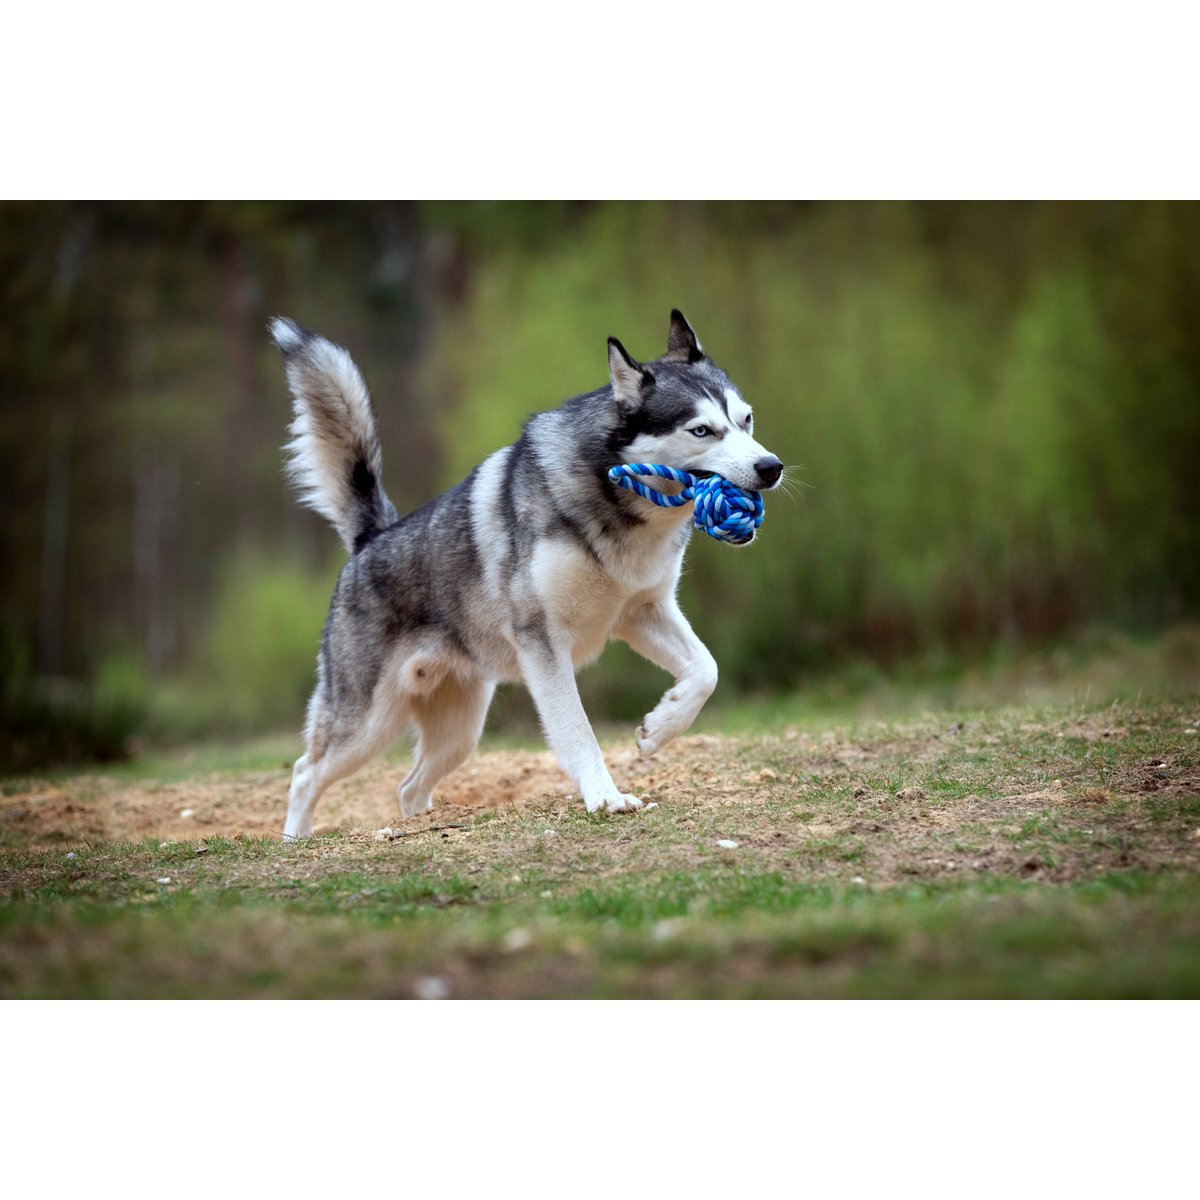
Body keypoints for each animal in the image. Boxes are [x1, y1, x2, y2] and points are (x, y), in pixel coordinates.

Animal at [267, 309, 782, 840]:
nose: (772, 467)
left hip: (459, 731)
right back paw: (294, 838)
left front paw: (659, 728)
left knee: (408, 786)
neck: (615, 500)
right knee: (305, 773)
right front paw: (605, 797)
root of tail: (372, 538)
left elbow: (706, 670)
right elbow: (577, 728)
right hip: (367, 725)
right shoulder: (543, 642)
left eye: (746, 420)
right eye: (702, 431)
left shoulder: (643, 612)